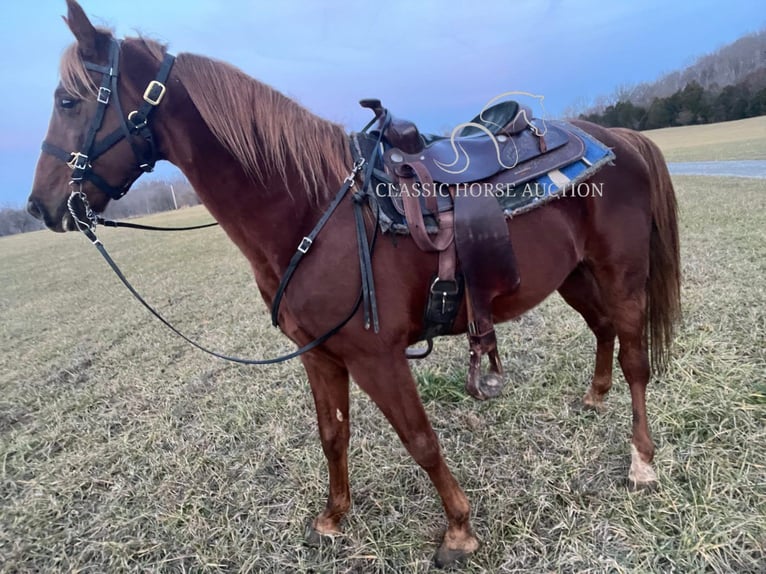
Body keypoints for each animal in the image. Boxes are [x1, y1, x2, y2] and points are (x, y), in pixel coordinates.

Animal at [28, 1, 684, 568]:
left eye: (67, 100)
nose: (42, 206)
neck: (315, 210)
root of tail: (618, 138)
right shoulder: (320, 354)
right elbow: (332, 434)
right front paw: (334, 518)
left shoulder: (377, 356)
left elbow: (419, 439)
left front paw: (459, 530)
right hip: (574, 276)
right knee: (602, 331)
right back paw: (594, 398)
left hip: (620, 273)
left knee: (635, 359)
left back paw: (642, 461)